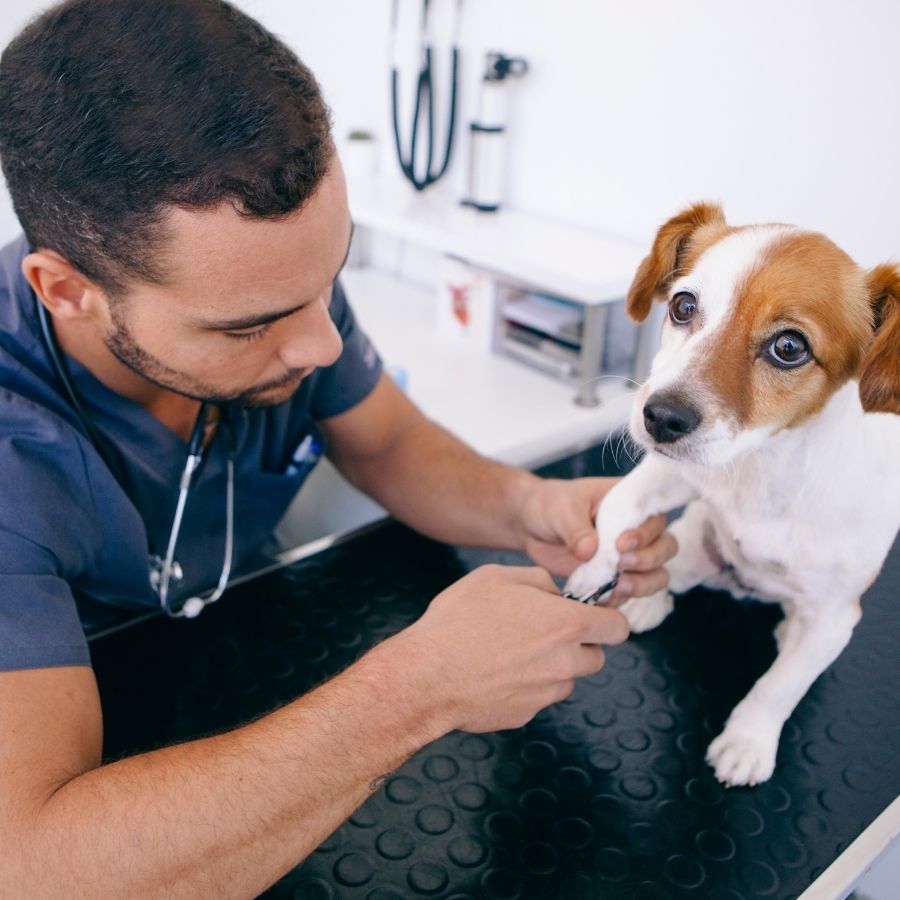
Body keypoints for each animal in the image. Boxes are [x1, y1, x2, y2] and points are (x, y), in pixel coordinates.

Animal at [568, 204, 896, 788]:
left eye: (789, 347)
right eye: (683, 305)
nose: (660, 417)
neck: (763, 468)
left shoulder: (835, 618)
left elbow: (778, 688)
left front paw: (747, 742)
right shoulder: (673, 476)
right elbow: (617, 513)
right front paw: (594, 573)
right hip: (695, 542)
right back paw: (649, 597)